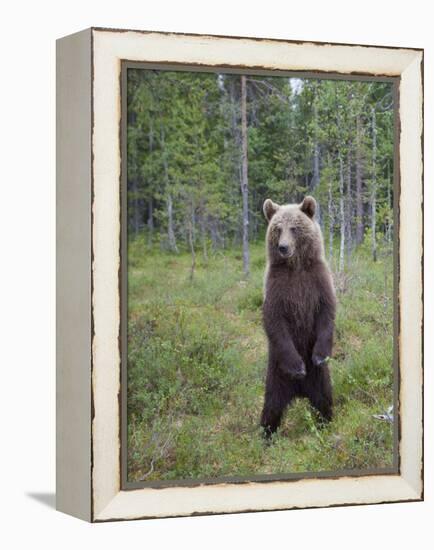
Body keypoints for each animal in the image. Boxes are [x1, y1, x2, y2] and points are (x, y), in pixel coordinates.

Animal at [262, 195, 336, 440]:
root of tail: (300, 392)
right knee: (272, 407)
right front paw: (297, 367)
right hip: (276, 373)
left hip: (320, 379)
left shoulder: (318, 281)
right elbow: (274, 320)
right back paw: (265, 436)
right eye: (278, 228)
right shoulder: (277, 287)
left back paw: (326, 425)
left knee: (324, 401)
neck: (296, 267)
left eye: (294, 228)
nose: (283, 247)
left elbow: (327, 313)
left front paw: (320, 355)